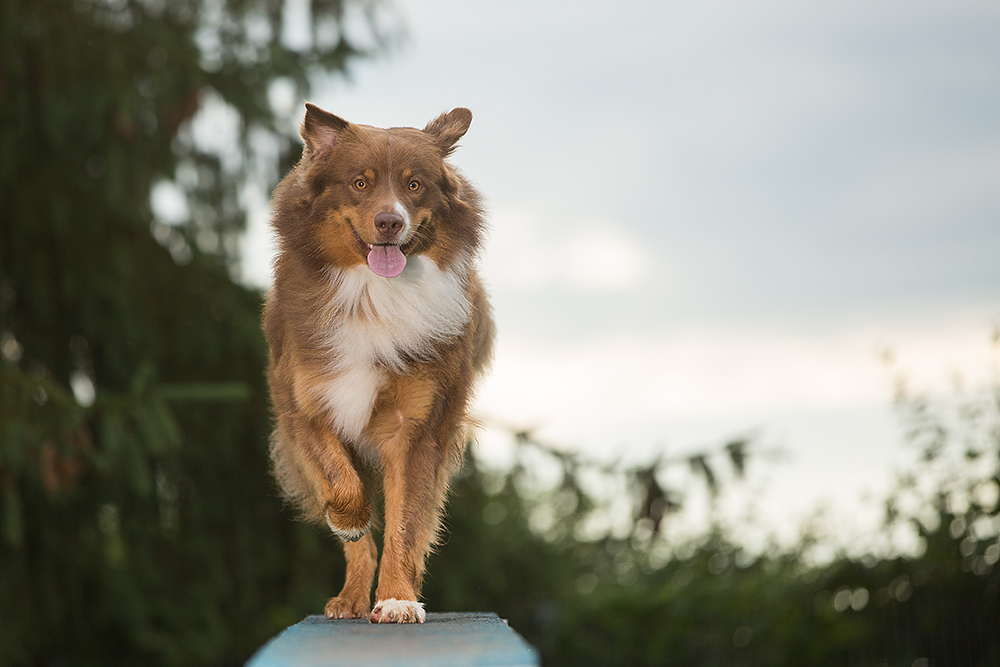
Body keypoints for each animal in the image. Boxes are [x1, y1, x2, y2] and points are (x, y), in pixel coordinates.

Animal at [260, 102, 490, 624]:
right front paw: (349, 520)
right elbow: (340, 485)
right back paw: (348, 597)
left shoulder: (417, 426)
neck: (371, 291)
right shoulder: (302, 406)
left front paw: (398, 598)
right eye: (360, 183)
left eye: (415, 185)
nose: (389, 223)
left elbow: (406, 522)